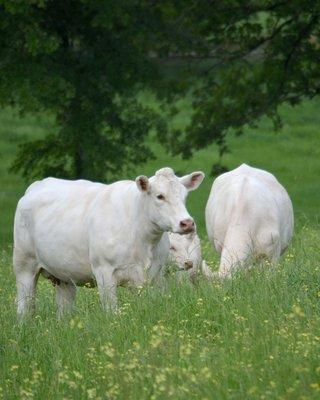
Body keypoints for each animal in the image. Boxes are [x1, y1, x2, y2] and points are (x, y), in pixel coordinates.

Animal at [13, 167, 204, 320]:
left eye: (184, 196)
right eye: (160, 196)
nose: (187, 223)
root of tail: (37, 184)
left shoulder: (156, 274)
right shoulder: (104, 272)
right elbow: (112, 312)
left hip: (64, 275)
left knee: (64, 308)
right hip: (24, 266)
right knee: (25, 307)